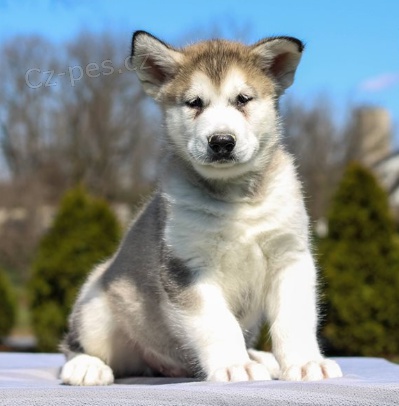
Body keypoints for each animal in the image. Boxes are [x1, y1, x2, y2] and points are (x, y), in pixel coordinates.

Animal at [61, 30, 342, 384]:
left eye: (243, 99)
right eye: (194, 103)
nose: (221, 141)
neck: (236, 199)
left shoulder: (290, 256)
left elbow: (295, 319)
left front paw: (305, 362)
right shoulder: (187, 268)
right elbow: (218, 324)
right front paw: (235, 366)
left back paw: (262, 358)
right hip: (97, 303)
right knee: (73, 344)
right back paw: (86, 366)